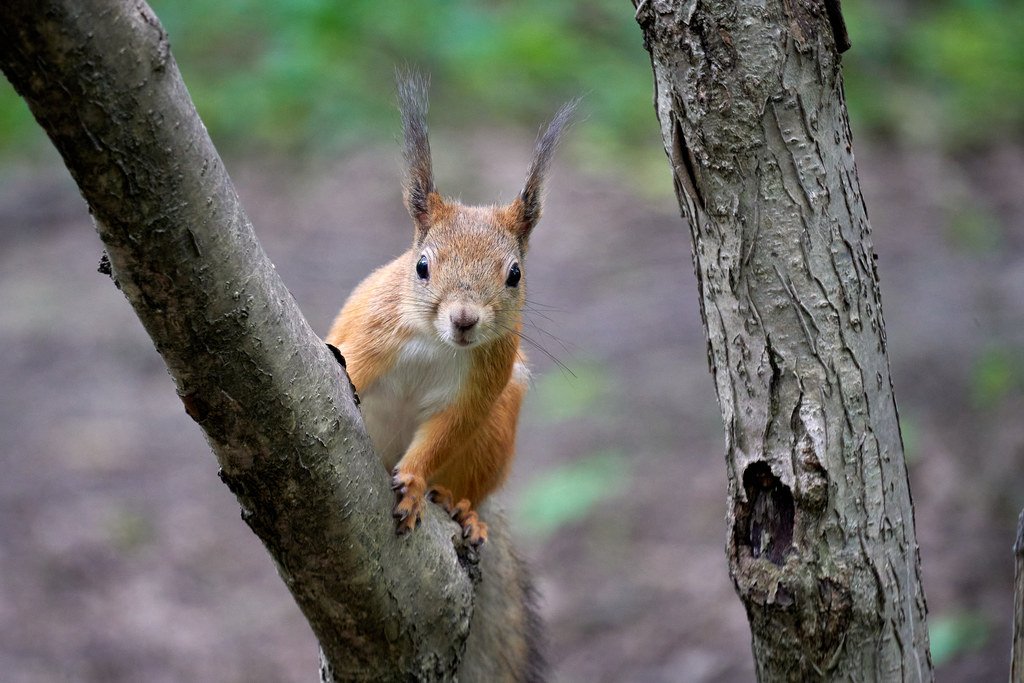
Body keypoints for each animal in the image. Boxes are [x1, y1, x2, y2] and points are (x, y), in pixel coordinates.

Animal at [323, 72, 573, 548]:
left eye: (515, 274)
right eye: (422, 266)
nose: (464, 319)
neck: (436, 343)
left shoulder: (478, 390)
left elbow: (444, 433)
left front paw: (414, 484)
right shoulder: (369, 336)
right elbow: (353, 372)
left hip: (494, 434)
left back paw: (462, 509)